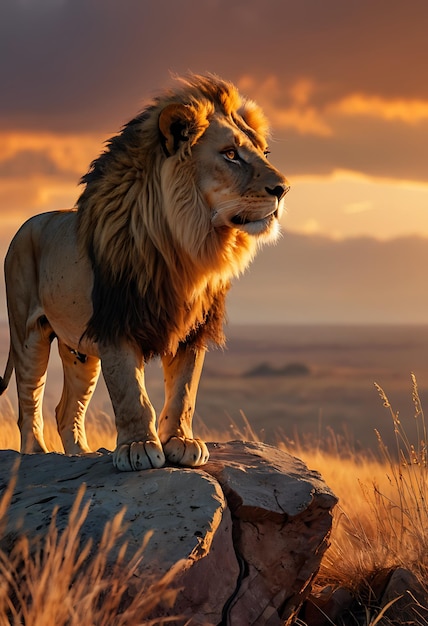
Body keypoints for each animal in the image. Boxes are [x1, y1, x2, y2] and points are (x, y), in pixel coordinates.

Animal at [0, 74, 290, 468]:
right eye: (230, 154)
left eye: (264, 153)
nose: (283, 189)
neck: (185, 249)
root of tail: (28, 222)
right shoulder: (115, 323)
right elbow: (130, 392)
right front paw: (137, 447)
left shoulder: (193, 329)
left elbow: (184, 392)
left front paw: (181, 442)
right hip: (28, 332)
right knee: (29, 399)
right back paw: (36, 454)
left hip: (79, 351)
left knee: (66, 410)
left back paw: (80, 455)